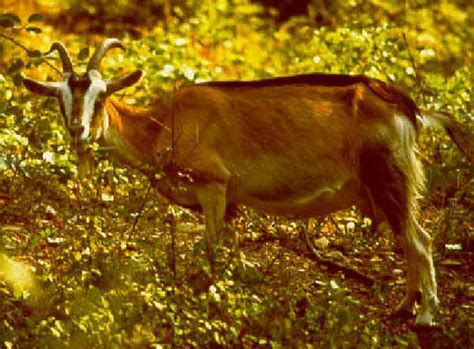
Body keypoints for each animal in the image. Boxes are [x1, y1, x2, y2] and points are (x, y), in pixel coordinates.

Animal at [23, 38, 474, 326]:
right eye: (60, 97)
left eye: (99, 96)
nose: (78, 131)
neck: (162, 125)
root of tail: (409, 108)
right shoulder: (233, 201)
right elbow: (232, 251)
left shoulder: (213, 186)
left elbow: (211, 250)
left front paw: (211, 302)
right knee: (406, 240)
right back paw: (403, 307)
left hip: (391, 174)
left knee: (419, 240)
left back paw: (425, 316)